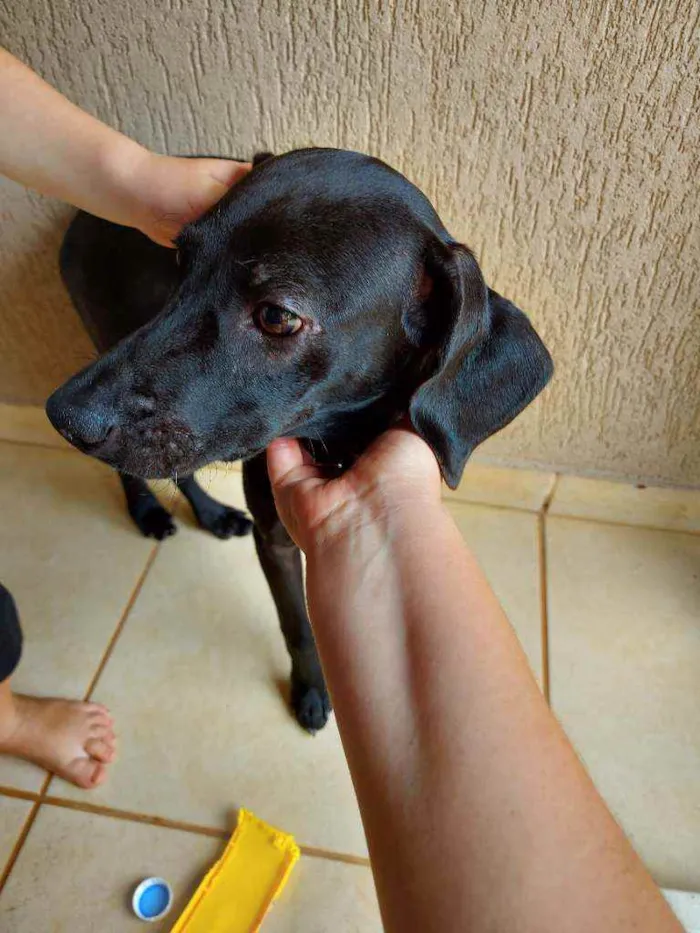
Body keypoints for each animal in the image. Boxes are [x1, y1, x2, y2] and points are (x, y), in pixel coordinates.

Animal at [46, 147, 556, 728]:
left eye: (277, 316)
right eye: (181, 262)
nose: (64, 416)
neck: (333, 442)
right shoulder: (275, 539)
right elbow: (297, 625)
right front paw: (312, 685)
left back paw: (210, 514)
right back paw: (151, 511)